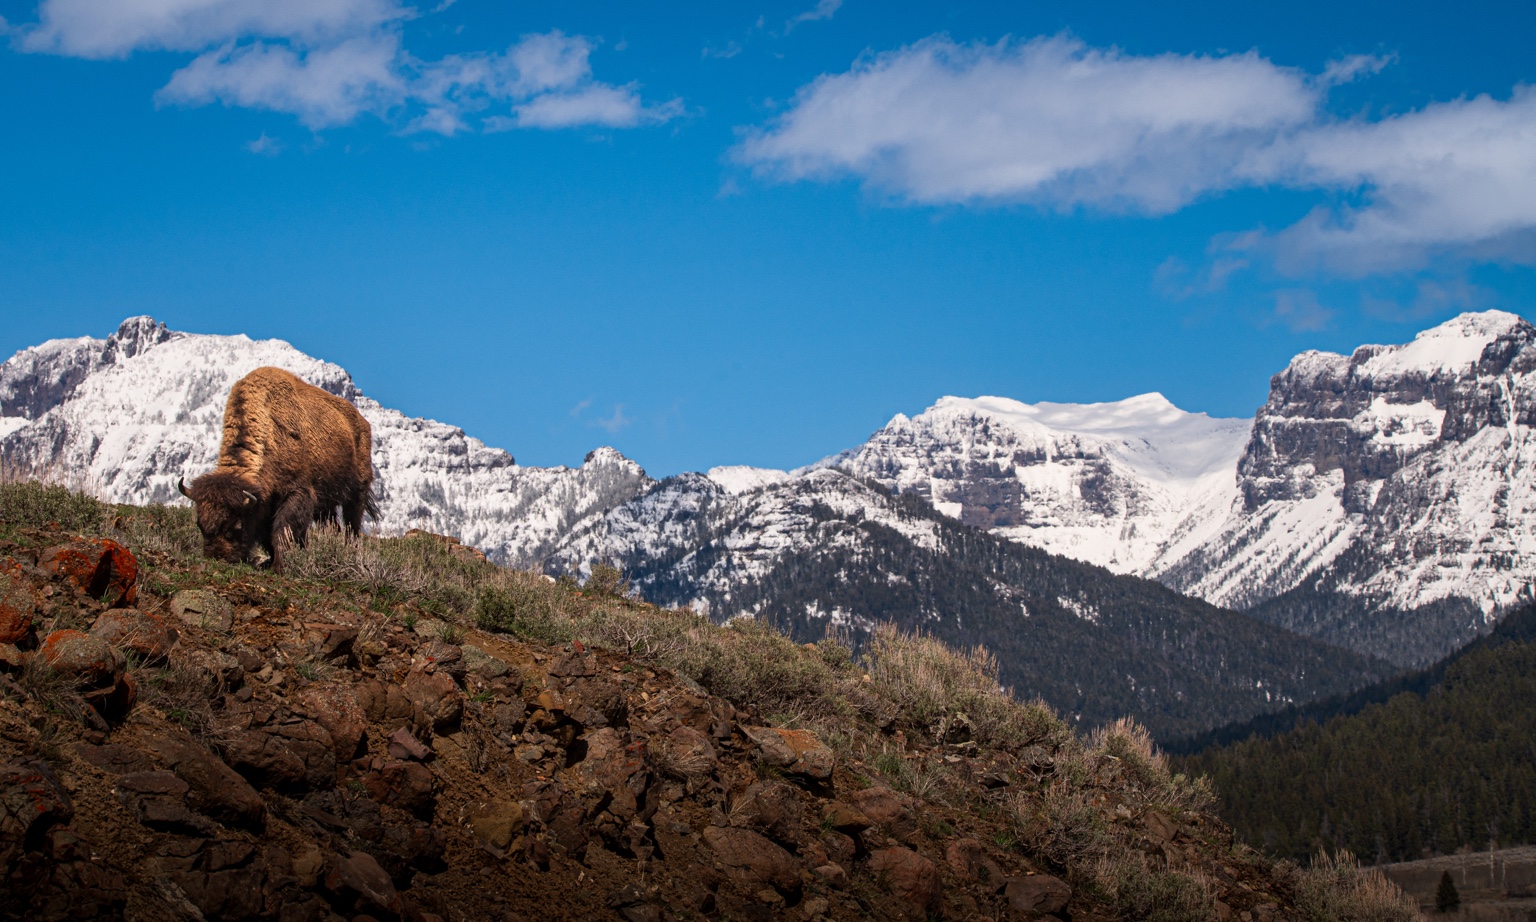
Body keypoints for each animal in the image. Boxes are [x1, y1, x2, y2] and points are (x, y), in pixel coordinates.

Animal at [179, 366, 377, 572]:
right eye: (200, 525)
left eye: (236, 526)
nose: (218, 558)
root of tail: (363, 423)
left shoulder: (295, 493)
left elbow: (283, 530)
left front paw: (279, 566)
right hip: (326, 503)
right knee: (332, 525)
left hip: (357, 492)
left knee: (352, 525)